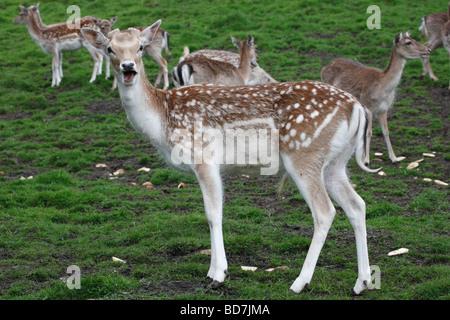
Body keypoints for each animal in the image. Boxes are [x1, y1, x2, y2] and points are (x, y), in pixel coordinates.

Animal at [81, 20, 380, 296]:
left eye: (140, 47)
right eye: (110, 49)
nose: (128, 67)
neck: (162, 120)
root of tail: (357, 108)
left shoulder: (203, 158)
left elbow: (213, 214)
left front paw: (218, 274)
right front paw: (213, 270)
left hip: (304, 154)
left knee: (325, 211)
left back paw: (300, 282)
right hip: (335, 163)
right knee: (357, 205)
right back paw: (362, 282)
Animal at [322, 31, 430, 165]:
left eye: (414, 39)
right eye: (408, 42)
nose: (428, 49)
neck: (383, 87)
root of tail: (323, 68)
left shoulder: (384, 109)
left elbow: (386, 132)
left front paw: (394, 158)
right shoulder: (369, 106)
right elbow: (368, 132)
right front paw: (366, 160)